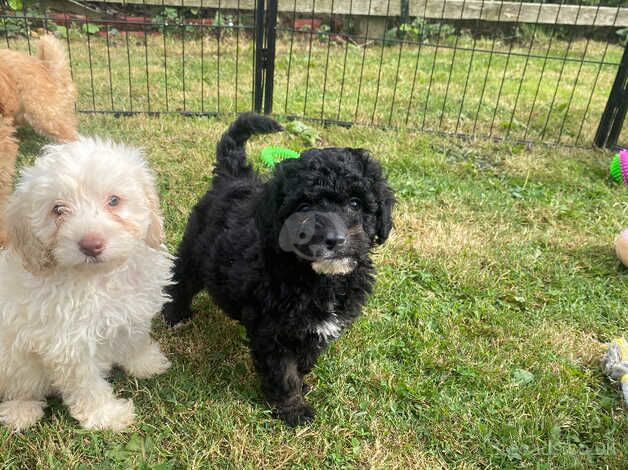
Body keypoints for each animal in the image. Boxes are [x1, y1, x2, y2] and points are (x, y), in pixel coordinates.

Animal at [0, 138, 172, 432]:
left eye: (114, 201)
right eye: (58, 210)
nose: (91, 244)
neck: (99, 277)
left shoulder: (132, 309)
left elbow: (135, 338)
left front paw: (146, 363)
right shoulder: (68, 345)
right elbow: (87, 386)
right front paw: (107, 416)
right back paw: (21, 410)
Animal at [164, 114, 394, 426]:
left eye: (355, 203)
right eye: (304, 207)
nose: (334, 240)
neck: (319, 278)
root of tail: (233, 177)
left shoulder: (311, 331)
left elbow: (304, 360)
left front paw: (302, 385)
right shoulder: (273, 330)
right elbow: (283, 372)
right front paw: (293, 409)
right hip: (194, 250)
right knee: (182, 279)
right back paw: (174, 315)